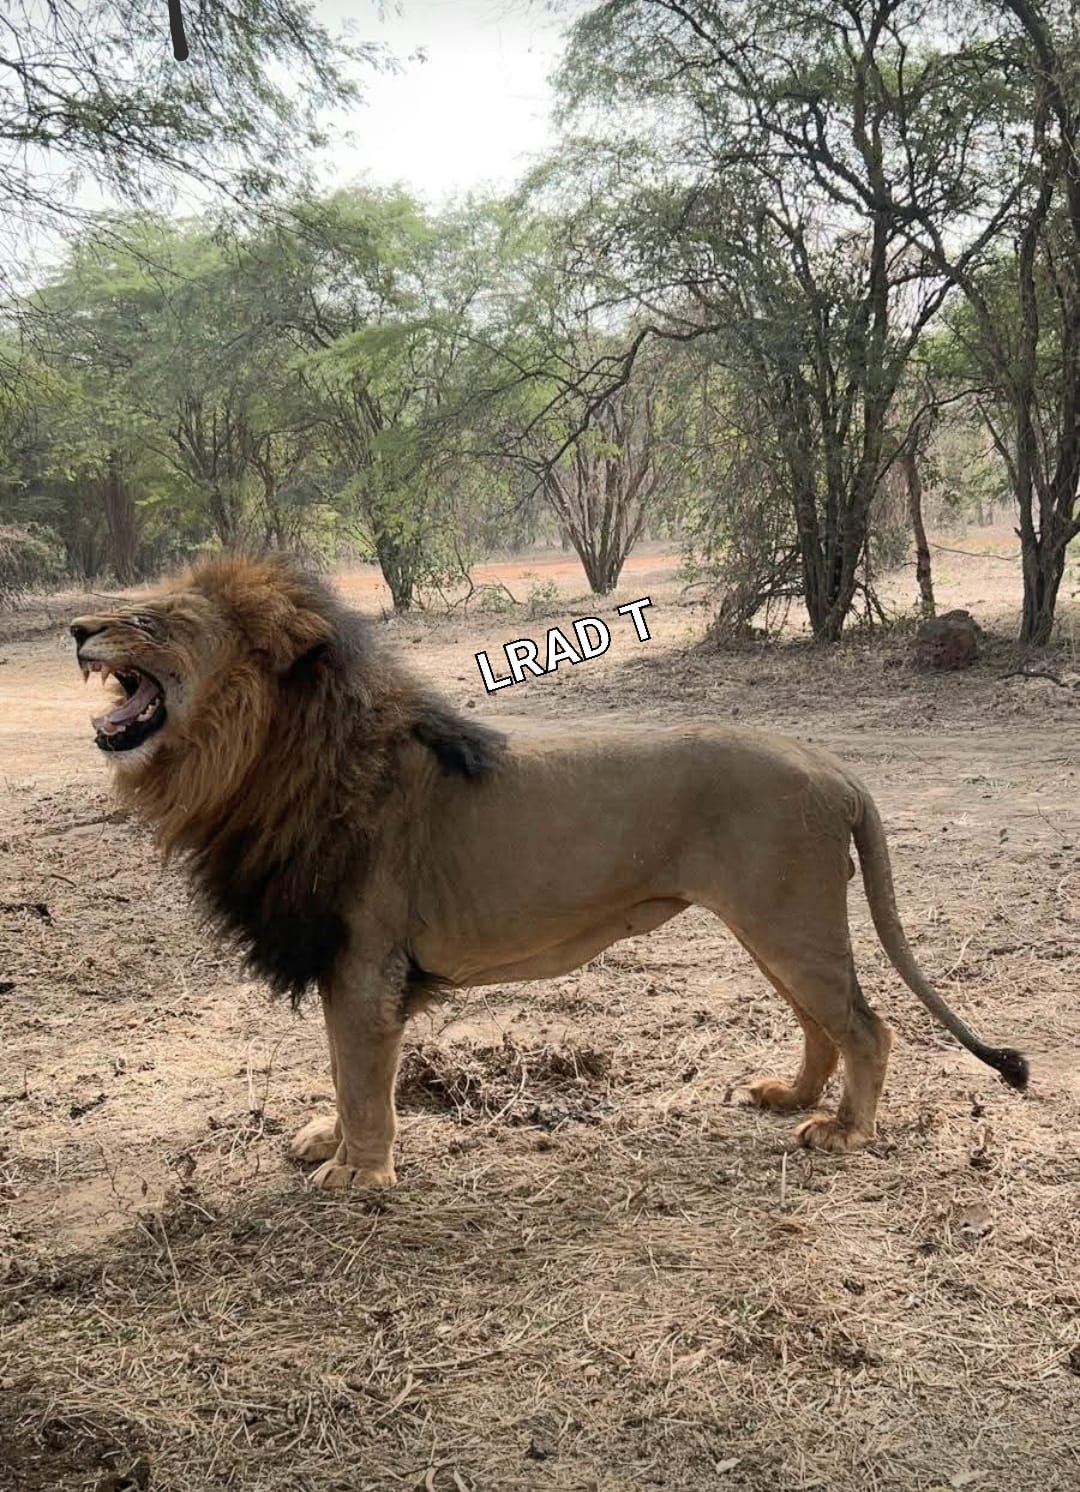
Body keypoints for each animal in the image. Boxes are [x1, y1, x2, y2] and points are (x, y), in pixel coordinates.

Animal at [69, 555, 1027, 1188]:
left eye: (156, 617)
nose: (77, 629)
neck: (261, 762)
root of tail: (833, 766)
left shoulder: (364, 962)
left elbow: (362, 1077)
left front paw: (355, 1175)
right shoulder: (349, 963)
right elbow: (345, 1074)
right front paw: (327, 1144)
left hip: (790, 921)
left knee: (869, 1027)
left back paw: (845, 1134)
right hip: (774, 926)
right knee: (823, 1024)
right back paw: (790, 1097)